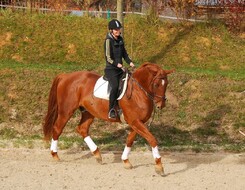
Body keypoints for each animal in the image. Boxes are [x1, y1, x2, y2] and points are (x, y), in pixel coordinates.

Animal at [43, 62, 173, 175]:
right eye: (156, 85)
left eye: (166, 84)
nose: (160, 105)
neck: (138, 91)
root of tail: (65, 76)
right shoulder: (135, 121)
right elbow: (152, 139)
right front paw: (159, 166)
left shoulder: (136, 122)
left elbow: (130, 140)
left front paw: (125, 161)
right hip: (66, 111)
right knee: (57, 128)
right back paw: (55, 155)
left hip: (88, 112)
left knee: (82, 129)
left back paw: (97, 154)